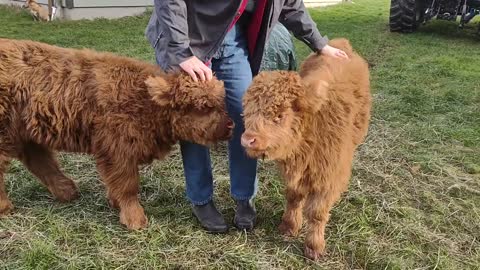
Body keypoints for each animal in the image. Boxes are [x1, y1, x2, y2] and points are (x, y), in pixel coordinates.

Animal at [0, 38, 232, 230]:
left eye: (222, 101)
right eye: (203, 106)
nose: (231, 125)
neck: (145, 102)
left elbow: (116, 182)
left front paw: (114, 202)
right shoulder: (118, 149)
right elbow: (127, 185)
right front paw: (135, 220)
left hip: (26, 132)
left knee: (39, 160)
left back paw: (67, 192)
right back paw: (6, 207)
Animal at [240, 39, 372, 260]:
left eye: (279, 115)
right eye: (248, 111)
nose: (248, 139)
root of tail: (341, 43)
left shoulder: (328, 177)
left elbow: (317, 214)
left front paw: (314, 246)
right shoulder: (295, 174)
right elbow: (294, 198)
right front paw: (289, 226)